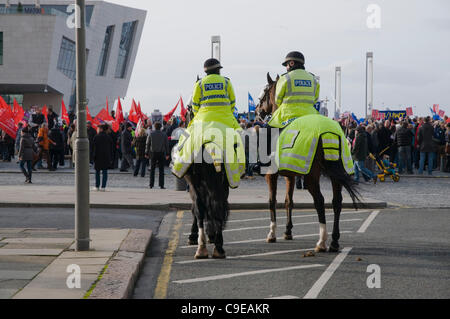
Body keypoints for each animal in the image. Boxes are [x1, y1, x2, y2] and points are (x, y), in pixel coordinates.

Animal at [255, 74, 360, 254]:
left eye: (264, 92)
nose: (257, 111)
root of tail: (328, 131)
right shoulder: (290, 175)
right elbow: (288, 201)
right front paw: (288, 230)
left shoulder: (271, 175)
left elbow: (272, 201)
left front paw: (272, 233)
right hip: (335, 175)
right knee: (336, 202)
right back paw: (334, 241)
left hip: (311, 176)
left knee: (320, 200)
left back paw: (322, 242)